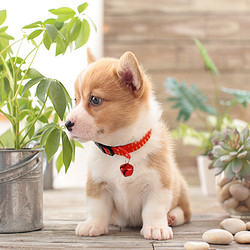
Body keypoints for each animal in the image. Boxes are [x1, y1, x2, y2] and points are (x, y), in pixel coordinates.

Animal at [65, 49, 190, 240]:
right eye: (75, 99)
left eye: (94, 100)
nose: (67, 124)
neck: (122, 148)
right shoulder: (98, 184)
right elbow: (97, 209)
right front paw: (93, 225)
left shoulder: (158, 185)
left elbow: (154, 209)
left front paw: (156, 228)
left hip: (181, 189)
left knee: (186, 211)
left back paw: (173, 216)